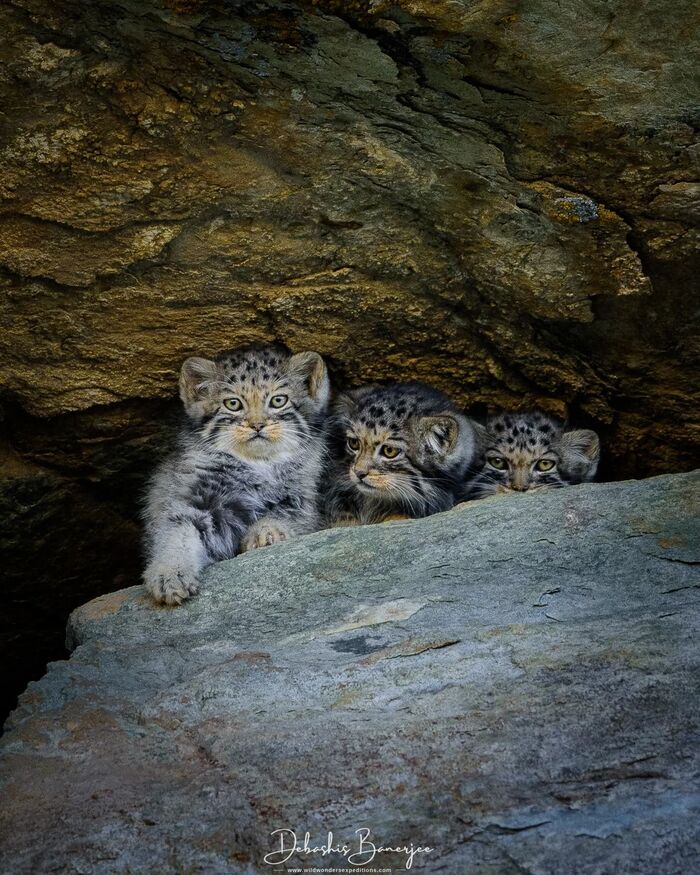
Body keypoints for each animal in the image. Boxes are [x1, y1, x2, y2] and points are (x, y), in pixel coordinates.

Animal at [143, 346, 330, 604]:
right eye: (233, 404)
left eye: (278, 400)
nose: (257, 425)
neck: (257, 465)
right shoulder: (194, 501)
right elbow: (175, 535)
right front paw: (169, 573)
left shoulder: (300, 500)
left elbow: (283, 516)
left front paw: (266, 532)